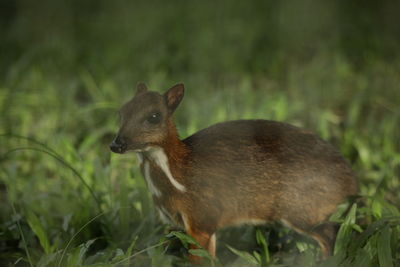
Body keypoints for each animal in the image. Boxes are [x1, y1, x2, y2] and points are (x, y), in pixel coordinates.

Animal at [108, 83, 356, 264]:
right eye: (121, 112)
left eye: (154, 116)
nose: (116, 144)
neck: (179, 179)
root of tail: (351, 179)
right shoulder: (178, 224)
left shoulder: (203, 219)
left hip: (302, 210)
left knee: (330, 232)